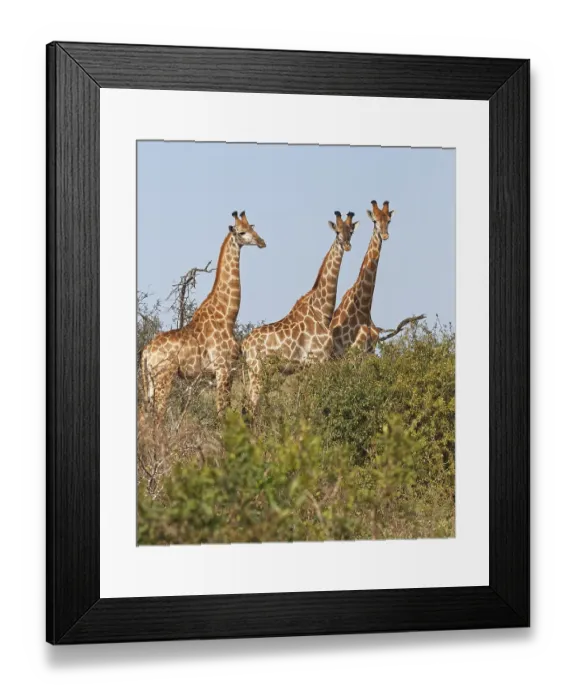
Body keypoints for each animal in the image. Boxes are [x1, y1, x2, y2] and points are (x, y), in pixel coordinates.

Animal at [141, 211, 266, 418]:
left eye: (252, 228)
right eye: (241, 232)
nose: (261, 242)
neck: (227, 316)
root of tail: (145, 352)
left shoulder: (227, 371)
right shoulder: (223, 369)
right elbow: (221, 413)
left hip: (150, 381)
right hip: (163, 377)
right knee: (158, 415)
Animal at [242, 210, 359, 410]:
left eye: (351, 231)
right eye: (337, 232)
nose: (347, 245)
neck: (322, 311)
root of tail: (243, 344)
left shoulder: (312, 365)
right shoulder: (317, 361)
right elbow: (313, 402)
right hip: (257, 370)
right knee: (252, 404)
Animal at [330, 200, 395, 356]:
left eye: (389, 221)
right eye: (374, 221)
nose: (385, 235)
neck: (364, 308)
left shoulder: (369, 351)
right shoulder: (353, 351)